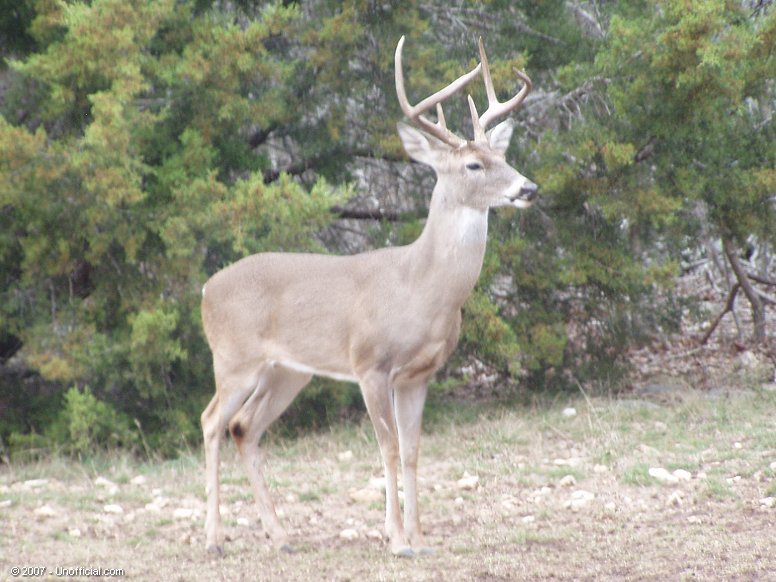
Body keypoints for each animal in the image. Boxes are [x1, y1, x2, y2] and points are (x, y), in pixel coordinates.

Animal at [200, 36, 536, 560]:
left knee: (244, 427)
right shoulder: (370, 365)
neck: (421, 288)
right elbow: (389, 447)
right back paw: (215, 539)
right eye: (474, 164)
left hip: (288, 371)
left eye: (502, 156)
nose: (529, 187)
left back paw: (281, 536)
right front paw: (397, 540)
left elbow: (414, 449)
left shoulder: (419, 374)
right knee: (212, 421)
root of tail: (206, 289)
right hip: (234, 358)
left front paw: (420, 538)